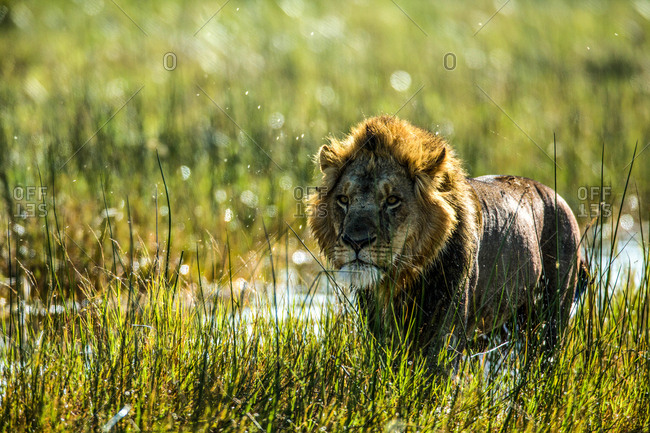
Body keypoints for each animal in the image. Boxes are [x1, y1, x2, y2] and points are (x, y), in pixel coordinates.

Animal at [308, 115, 583, 364]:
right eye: (343, 199)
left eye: (392, 200)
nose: (356, 241)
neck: (401, 279)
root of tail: (556, 196)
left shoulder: (444, 332)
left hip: (552, 315)